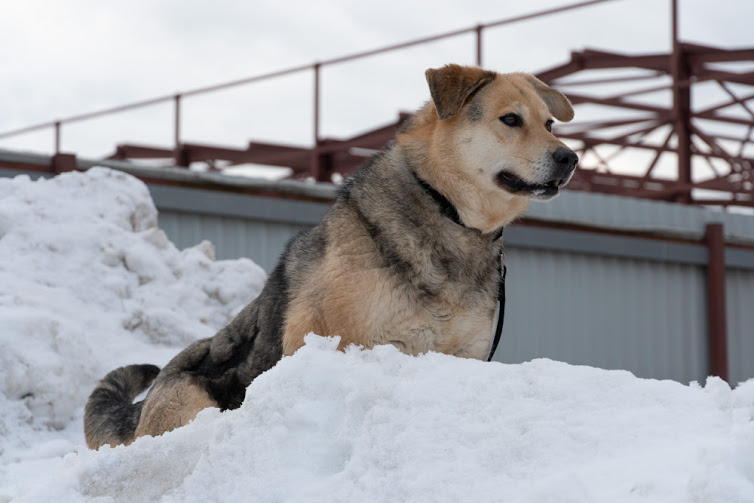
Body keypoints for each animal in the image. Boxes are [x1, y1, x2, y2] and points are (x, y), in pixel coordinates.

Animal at [84, 64, 578, 449]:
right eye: (510, 119)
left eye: (550, 124)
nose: (570, 159)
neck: (446, 210)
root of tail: (149, 397)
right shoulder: (325, 335)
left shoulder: (466, 355)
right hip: (190, 400)